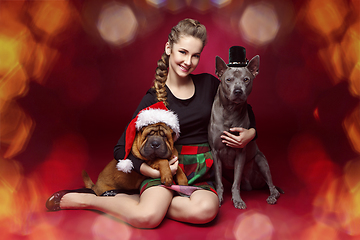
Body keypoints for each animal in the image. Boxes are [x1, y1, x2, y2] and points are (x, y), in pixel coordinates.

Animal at [208, 55, 282, 209]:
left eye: (246, 79)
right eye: (228, 79)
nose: (238, 91)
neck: (230, 111)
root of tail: (254, 185)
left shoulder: (240, 152)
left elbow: (236, 183)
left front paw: (237, 200)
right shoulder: (215, 153)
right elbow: (219, 181)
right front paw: (219, 198)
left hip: (261, 161)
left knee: (272, 187)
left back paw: (272, 196)